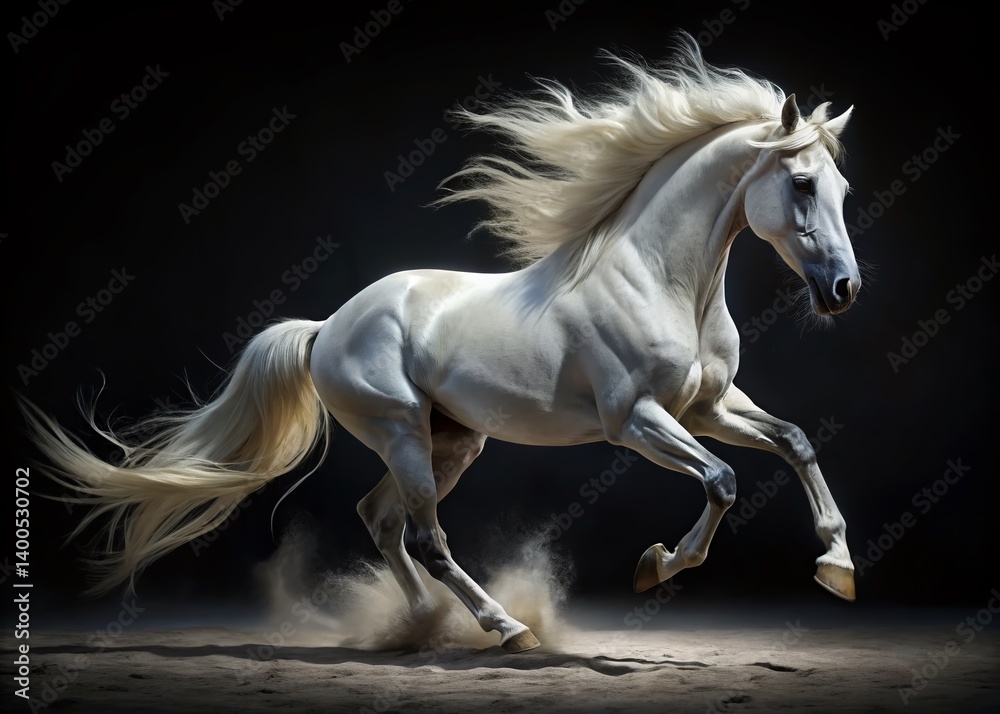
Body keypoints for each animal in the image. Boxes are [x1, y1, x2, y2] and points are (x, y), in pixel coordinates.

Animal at [21, 34, 859, 654]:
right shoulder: (637, 421)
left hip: (449, 440)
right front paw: (657, 566)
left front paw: (837, 567)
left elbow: (795, 441)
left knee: (380, 520)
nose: (845, 290)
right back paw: (505, 628)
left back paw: (425, 624)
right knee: (423, 535)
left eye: (844, 189)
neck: (659, 278)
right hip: (402, 433)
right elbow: (722, 480)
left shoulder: (709, 406)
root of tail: (328, 327)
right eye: (803, 185)